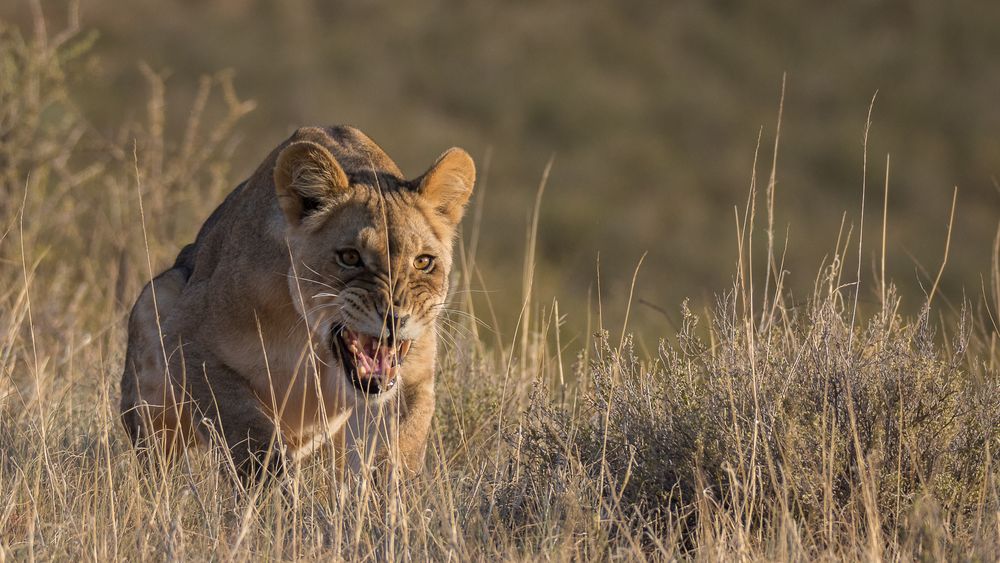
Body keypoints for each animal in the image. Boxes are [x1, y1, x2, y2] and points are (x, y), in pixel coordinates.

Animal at [117, 125, 476, 482]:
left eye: (423, 262)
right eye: (350, 257)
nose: (394, 317)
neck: (315, 342)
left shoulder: (408, 379)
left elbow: (393, 453)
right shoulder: (189, 336)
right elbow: (249, 435)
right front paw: (272, 493)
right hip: (158, 297)